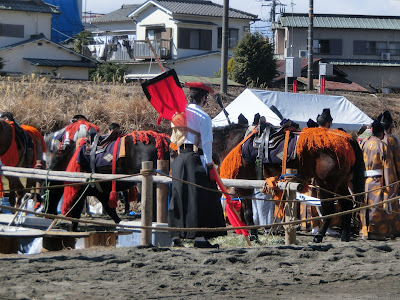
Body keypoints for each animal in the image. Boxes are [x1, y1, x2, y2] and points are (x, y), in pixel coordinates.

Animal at [216, 123, 366, 243]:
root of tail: (347, 139)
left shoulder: (243, 183)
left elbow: (247, 211)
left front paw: (253, 236)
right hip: (340, 183)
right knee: (346, 205)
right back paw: (345, 236)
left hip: (326, 183)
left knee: (329, 209)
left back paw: (319, 236)